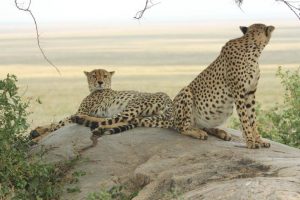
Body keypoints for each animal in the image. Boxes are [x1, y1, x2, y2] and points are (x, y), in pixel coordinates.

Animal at [29, 69, 173, 144]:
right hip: (142, 114)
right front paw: (37, 130)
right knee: (127, 121)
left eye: (105, 75)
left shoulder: (80, 110)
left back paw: (95, 126)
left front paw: (38, 137)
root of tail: (169, 100)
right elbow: (58, 123)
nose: (100, 82)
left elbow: (59, 123)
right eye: (94, 75)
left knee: (117, 119)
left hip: (131, 106)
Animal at [74, 23, 274, 148]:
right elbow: (246, 119)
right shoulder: (240, 93)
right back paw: (196, 133)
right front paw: (251, 142)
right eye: (94, 76)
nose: (100, 82)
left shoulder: (250, 93)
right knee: (182, 127)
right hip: (185, 93)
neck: (253, 48)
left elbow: (252, 118)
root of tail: (170, 117)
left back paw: (219, 132)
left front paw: (258, 140)